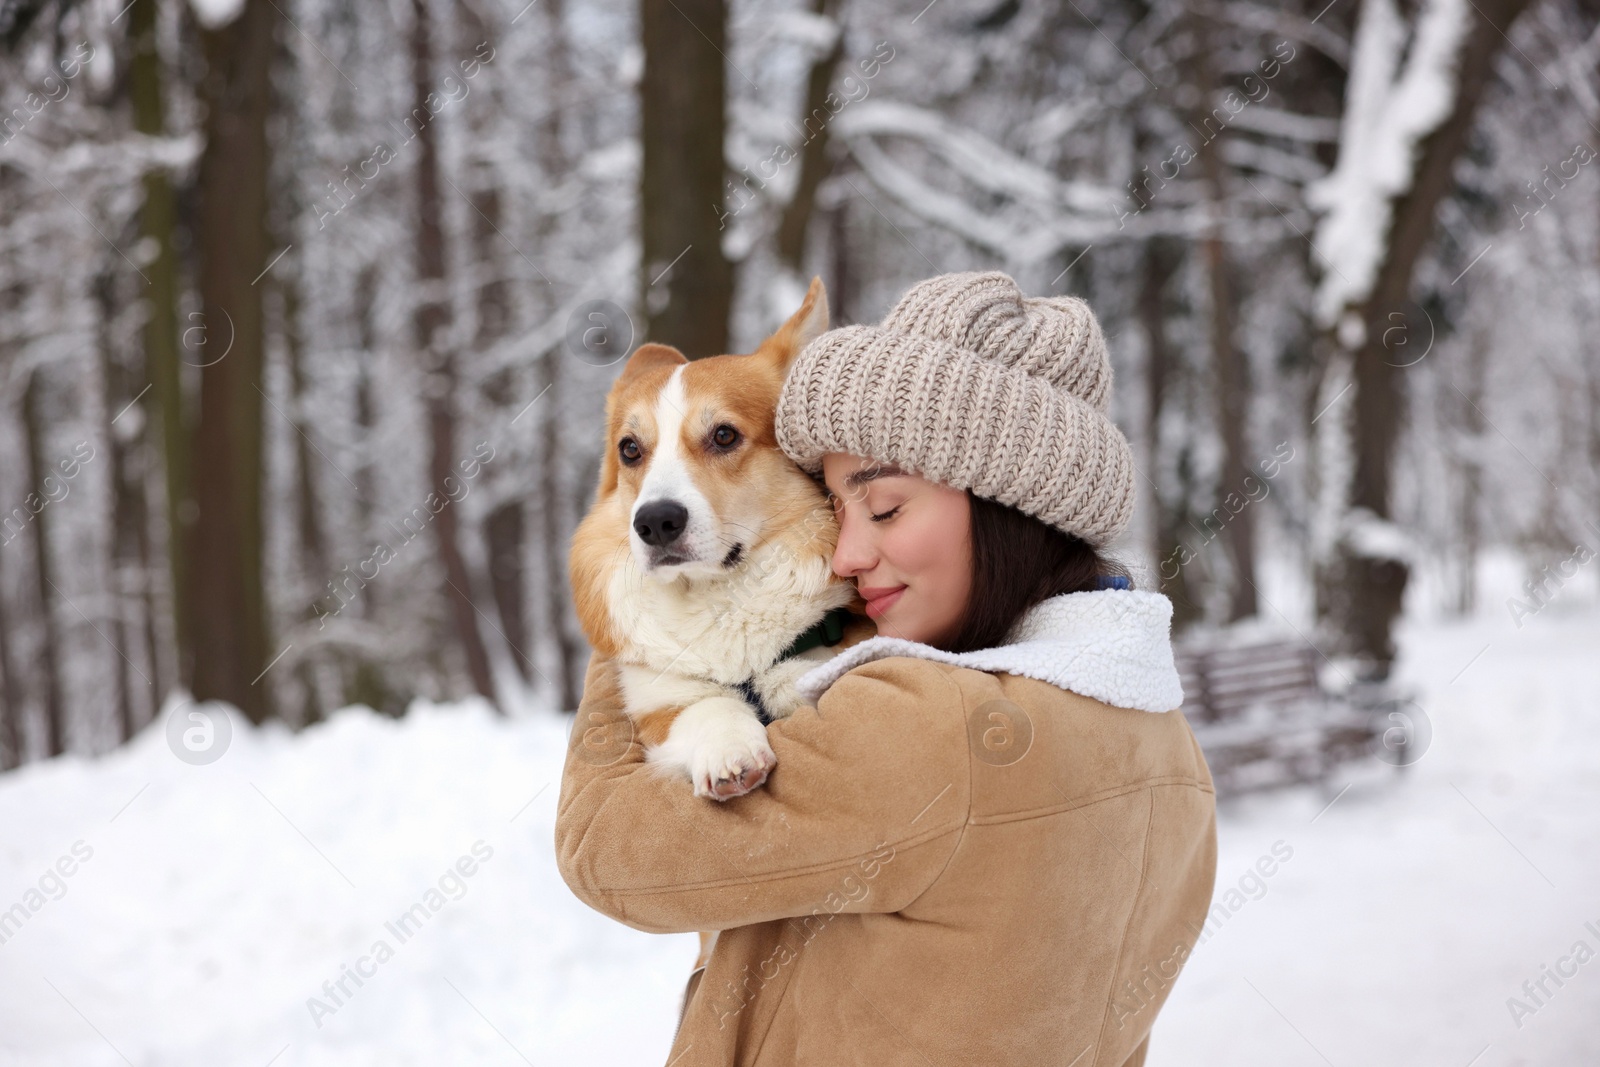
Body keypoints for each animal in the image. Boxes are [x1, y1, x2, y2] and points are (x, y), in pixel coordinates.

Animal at [569, 279, 876, 806]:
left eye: (725, 435)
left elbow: (803, 678)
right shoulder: (661, 698)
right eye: (630, 449)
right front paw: (729, 749)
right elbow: (706, 708)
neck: (715, 594)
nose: (655, 522)